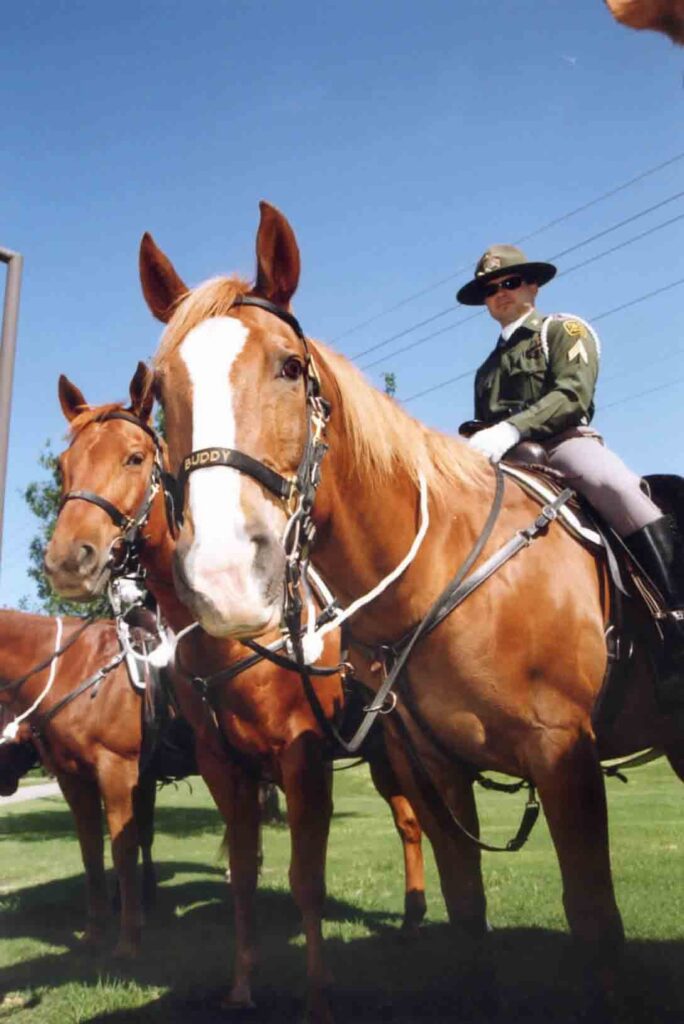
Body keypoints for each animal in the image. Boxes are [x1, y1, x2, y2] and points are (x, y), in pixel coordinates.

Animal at [0, 609, 158, 957]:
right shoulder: (74, 779)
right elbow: (91, 852)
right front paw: (95, 933)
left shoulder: (118, 771)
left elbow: (124, 849)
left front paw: (129, 940)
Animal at [44, 368, 427, 1022]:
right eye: (64, 467)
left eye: (134, 456)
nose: (70, 559)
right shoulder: (224, 767)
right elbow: (243, 874)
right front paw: (243, 985)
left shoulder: (303, 762)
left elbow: (306, 879)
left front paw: (318, 995)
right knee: (407, 821)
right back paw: (411, 915)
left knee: (416, 819)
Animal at [141, 200, 684, 1006]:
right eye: (159, 394)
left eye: (289, 365)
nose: (225, 573)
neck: (442, 575)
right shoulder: (434, 771)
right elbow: (467, 910)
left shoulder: (566, 760)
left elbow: (595, 921)